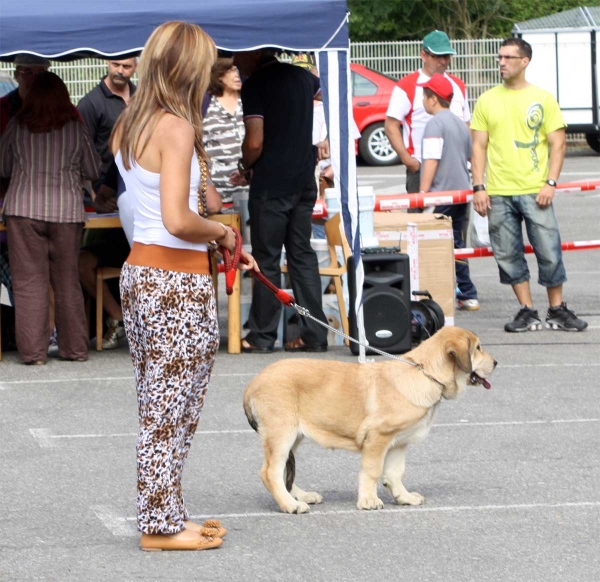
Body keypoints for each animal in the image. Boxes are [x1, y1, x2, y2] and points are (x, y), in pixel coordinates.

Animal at [244, 328, 496, 516]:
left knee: (283, 471)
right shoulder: (378, 438)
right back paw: (291, 505)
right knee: (270, 472)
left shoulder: (398, 443)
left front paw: (403, 497)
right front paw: (368, 500)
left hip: (294, 436)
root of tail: (253, 383)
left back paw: (300, 496)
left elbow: (395, 473)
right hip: (281, 433)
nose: (495, 363)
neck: (424, 373)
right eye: (477, 348)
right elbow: (373, 471)